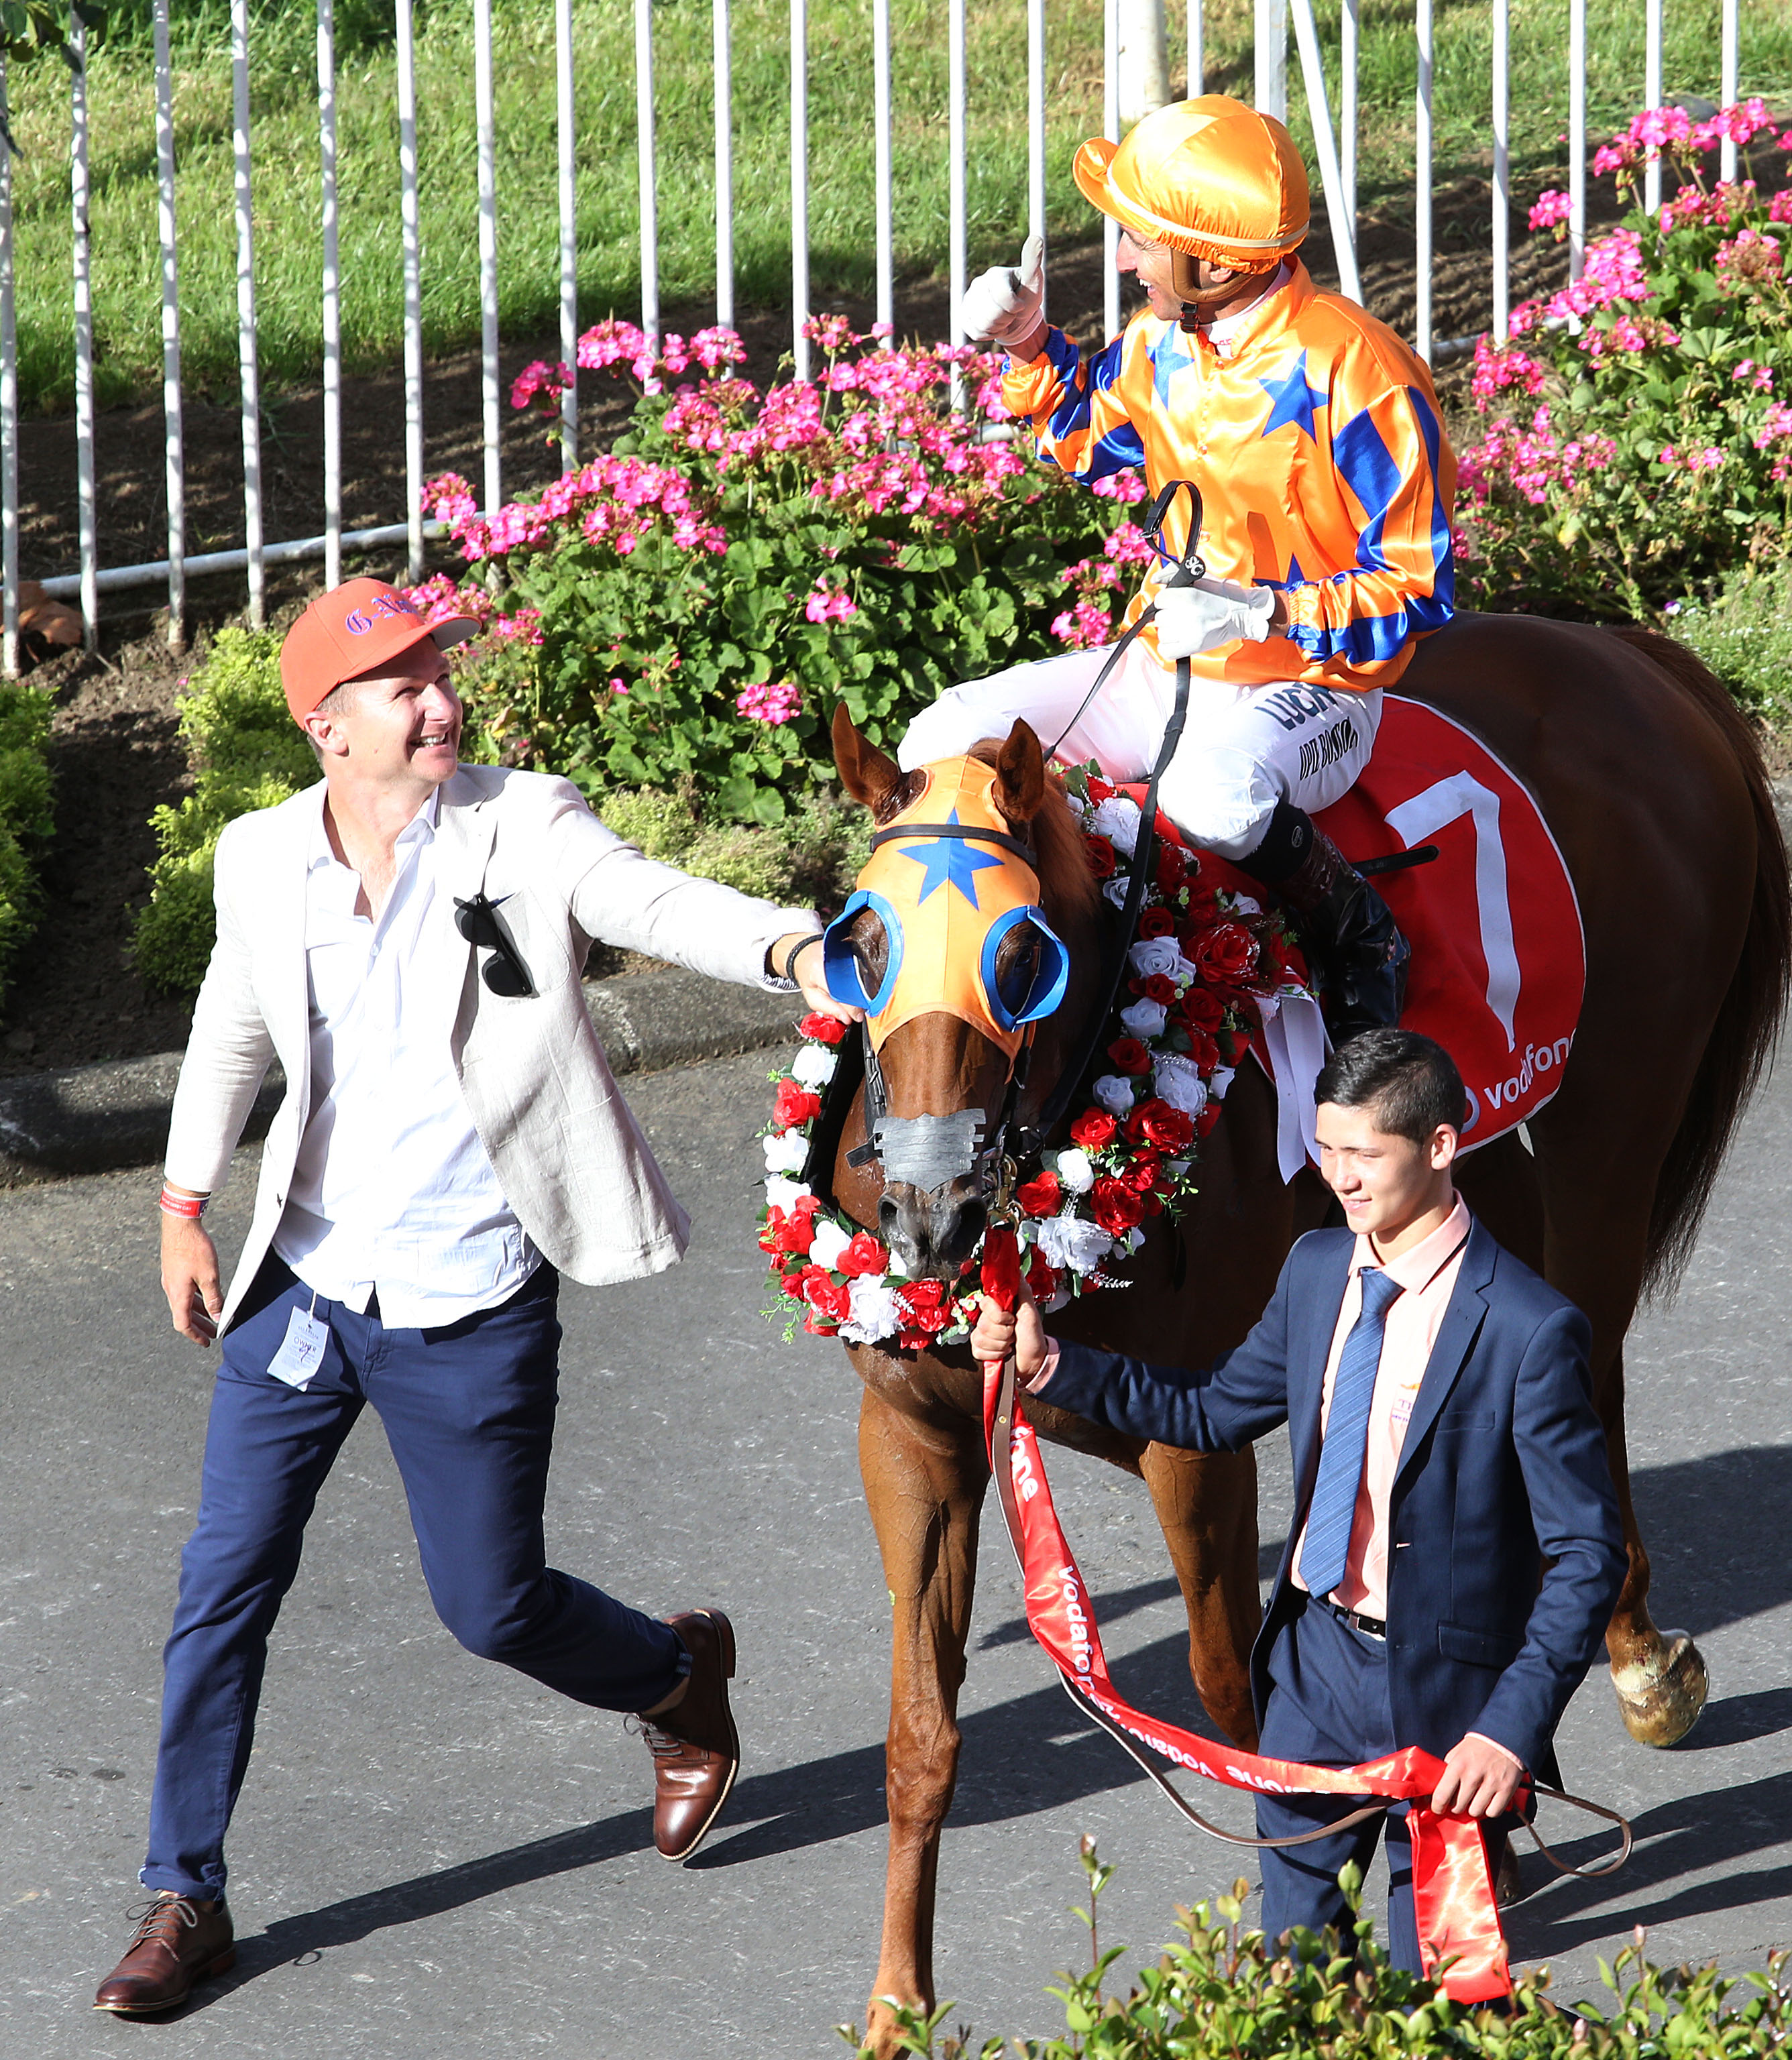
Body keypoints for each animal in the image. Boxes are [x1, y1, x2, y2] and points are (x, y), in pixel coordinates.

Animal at [836, 610, 1792, 2043]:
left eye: (1019, 956)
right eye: (859, 944)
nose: (925, 1215)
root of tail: (1631, 658)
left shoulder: (1196, 1443)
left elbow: (1237, 1698)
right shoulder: (914, 1436)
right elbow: (916, 1733)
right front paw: (898, 2003)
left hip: (1614, 1128)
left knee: (1583, 1374)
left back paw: (1620, 1669)